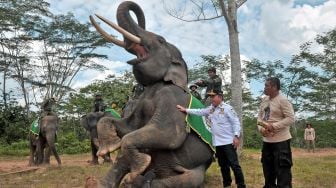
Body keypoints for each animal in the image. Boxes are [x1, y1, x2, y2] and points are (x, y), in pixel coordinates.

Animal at [89, 0, 214, 187]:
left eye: (160, 40)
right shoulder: (140, 103)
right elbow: (128, 128)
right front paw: (107, 148)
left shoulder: (173, 98)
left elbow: (169, 133)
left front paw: (137, 164)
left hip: (197, 171)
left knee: (182, 180)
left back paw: (135, 180)